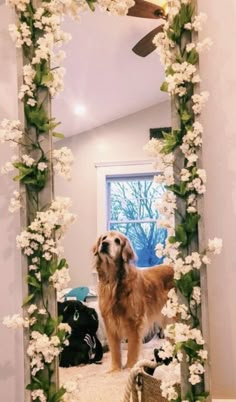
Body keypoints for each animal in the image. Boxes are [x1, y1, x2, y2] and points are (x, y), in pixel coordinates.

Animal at [92, 229, 173, 370]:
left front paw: (130, 368)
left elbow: (132, 350)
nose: (105, 244)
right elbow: (115, 351)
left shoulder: (135, 323)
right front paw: (115, 370)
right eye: (104, 238)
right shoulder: (110, 323)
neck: (113, 281)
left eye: (117, 241)